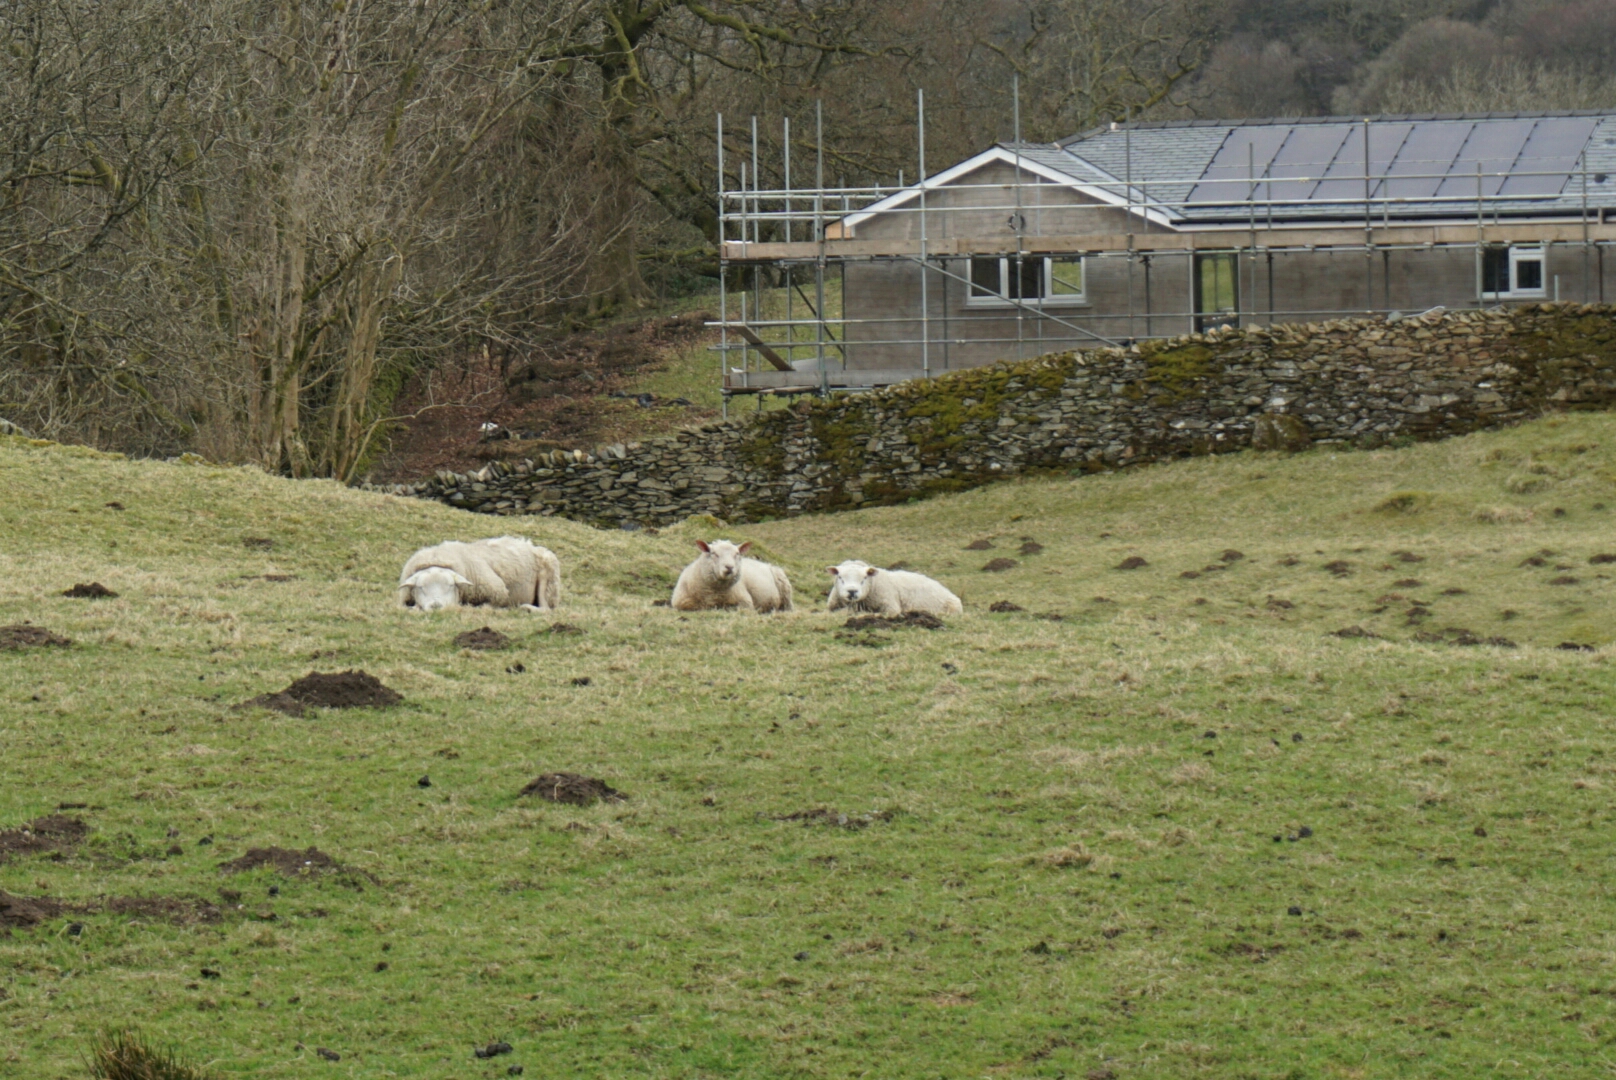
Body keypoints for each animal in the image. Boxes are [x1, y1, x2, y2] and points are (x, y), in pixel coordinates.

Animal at [397, 536, 562, 611]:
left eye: (450, 586)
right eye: (420, 587)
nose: (436, 606)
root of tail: (529, 544)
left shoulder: (498, 593)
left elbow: (486, 606)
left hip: (548, 581)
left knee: (546, 609)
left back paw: (527, 608)